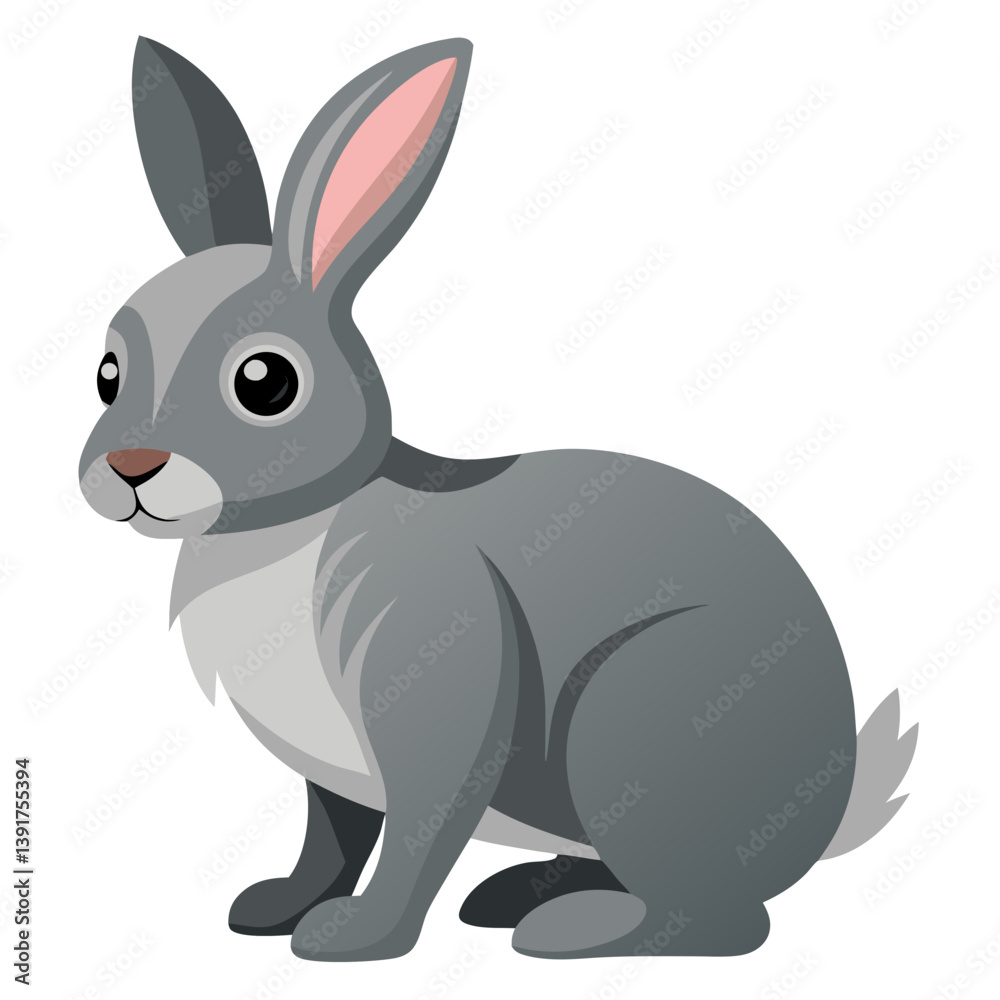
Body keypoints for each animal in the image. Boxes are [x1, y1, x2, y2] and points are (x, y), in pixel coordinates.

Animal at [78, 36, 918, 961]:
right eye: (107, 374)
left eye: (266, 382)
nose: (131, 467)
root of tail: (830, 816)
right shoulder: (332, 771)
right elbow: (331, 835)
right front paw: (273, 909)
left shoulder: (436, 690)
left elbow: (417, 833)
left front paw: (352, 939)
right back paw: (515, 896)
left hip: (626, 724)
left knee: (724, 922)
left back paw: (568, 933)